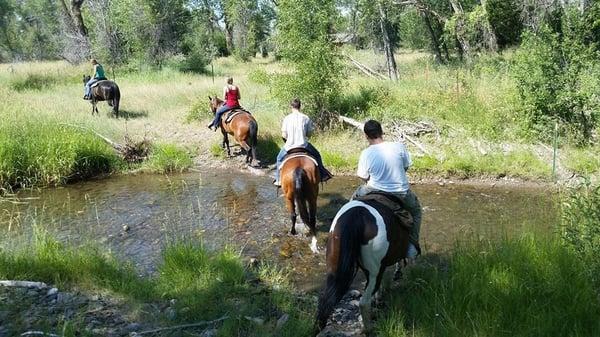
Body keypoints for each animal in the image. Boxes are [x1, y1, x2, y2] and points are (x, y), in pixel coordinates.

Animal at [314, 193, 412, 334]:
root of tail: (356, 215)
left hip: (333, 267)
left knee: (325, 301)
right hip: (373, 272)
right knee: (364, 302)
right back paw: (369, 328)